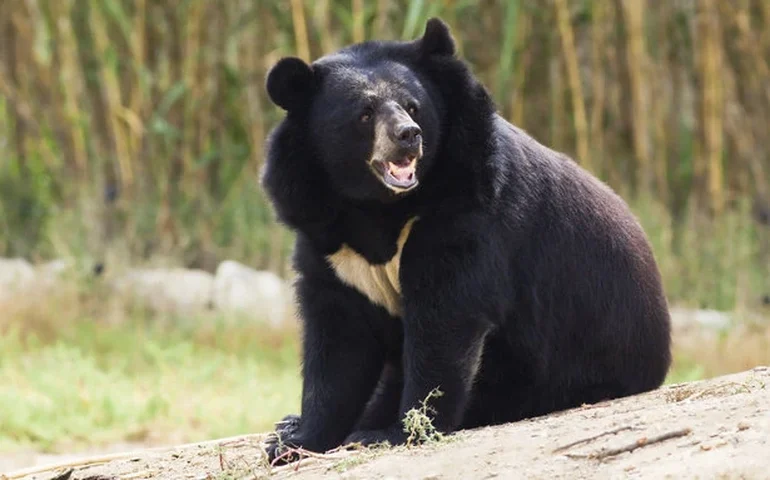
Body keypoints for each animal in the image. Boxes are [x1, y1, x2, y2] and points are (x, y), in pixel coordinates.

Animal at [260, 17, 672, 463]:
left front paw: (393, 432)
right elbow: (339, 340)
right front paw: (296, 440)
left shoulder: (466, 215)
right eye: (364, 113)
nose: (408, 135)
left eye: (412, 106)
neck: (378, 206)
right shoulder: (328, 239)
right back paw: (289, 422)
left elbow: (446, 320)